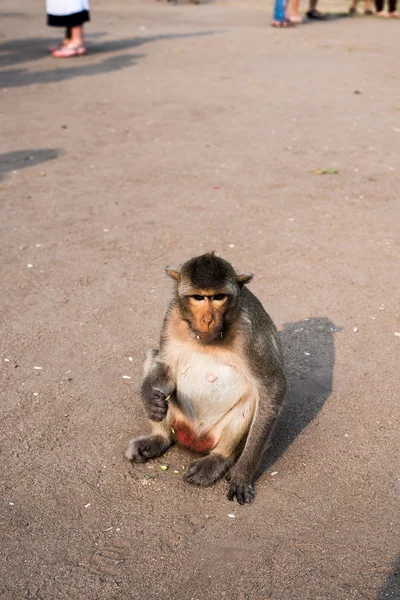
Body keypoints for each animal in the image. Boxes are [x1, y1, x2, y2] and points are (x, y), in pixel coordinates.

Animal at [125, 251, 284, 504]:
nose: (208, 319)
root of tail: (194, 440)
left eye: (218, 297)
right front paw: (150, 399)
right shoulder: (171, 316)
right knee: (153, 355)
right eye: (198, 298)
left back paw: (218, 459)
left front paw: (242, 474)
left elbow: (273, 388)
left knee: (253, 396)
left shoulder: (250, 328)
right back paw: (158, 438)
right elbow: (165, 364)